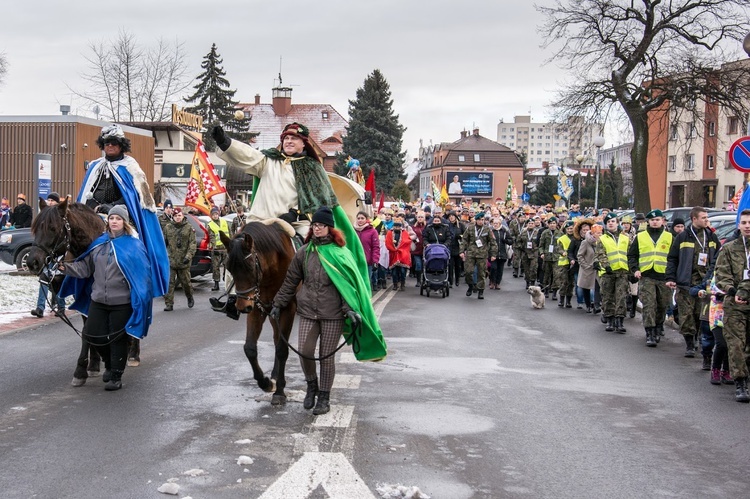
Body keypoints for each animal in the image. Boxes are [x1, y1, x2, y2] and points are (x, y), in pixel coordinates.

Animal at [27, 199, 106, 386]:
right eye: (35, 228)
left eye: (52, 228)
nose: (32, 262)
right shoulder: (84, 297)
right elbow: (88, 328)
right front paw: (89, 366)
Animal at [220, 223, 296, 406]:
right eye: (229, 267)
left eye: (249, 267)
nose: (242, 306)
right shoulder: (257, 309)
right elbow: (250, 348)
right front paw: (266, 382)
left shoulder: (287, 309)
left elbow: (282, 349)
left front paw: (280, 392)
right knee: (276, 338)